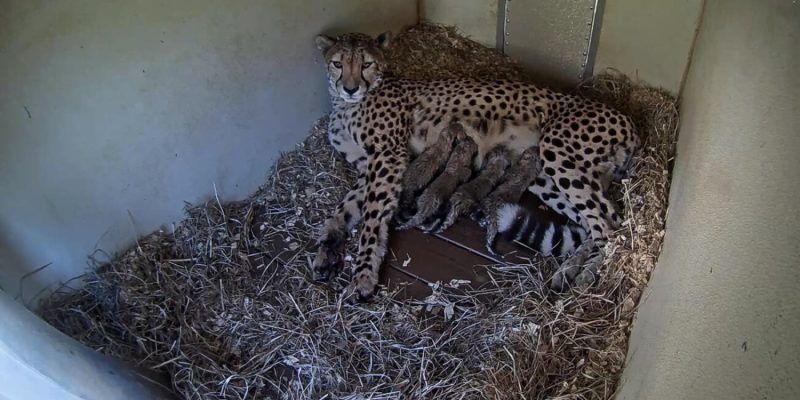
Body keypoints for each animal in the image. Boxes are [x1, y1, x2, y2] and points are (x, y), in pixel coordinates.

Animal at [311, 31, 638, 301]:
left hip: (557, 153)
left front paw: (364, 275)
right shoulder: (368, 167)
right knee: (598, 223)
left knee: (609, 225)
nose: (351, 88)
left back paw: (584, 274)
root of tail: (627, 120)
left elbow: (371, 217)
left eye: (366, 64)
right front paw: (326, 249)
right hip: (545, 175)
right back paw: (568, 270)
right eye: (338, 64)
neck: (346, 105)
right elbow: (343, 211)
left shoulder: (387, 157)